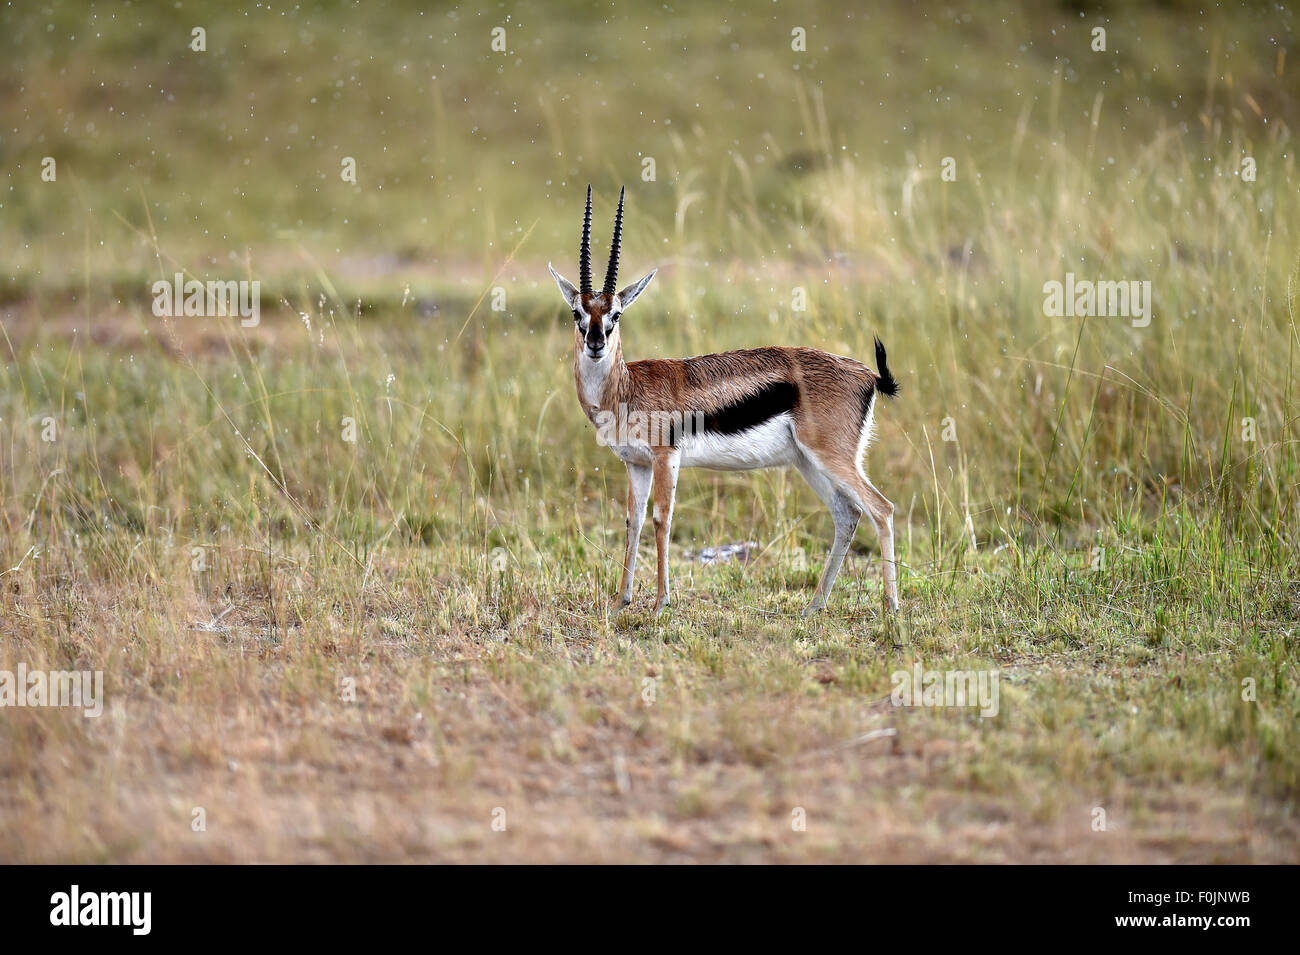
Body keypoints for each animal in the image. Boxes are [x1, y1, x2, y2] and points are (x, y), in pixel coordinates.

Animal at [548, 185, 900, 616]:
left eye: (616, 313)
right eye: (577, 312)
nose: (596, 342)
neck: (627, 387)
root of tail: (868, 375)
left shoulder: (666, 457)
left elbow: (662, 519)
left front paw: (660, 603)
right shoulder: (636, 464)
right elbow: (633, 521)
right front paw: (620, 601)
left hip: (831, 456)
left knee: (881, 508)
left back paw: (890, 606)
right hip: (807, 462)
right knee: (847, 514)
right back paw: (814, 605)